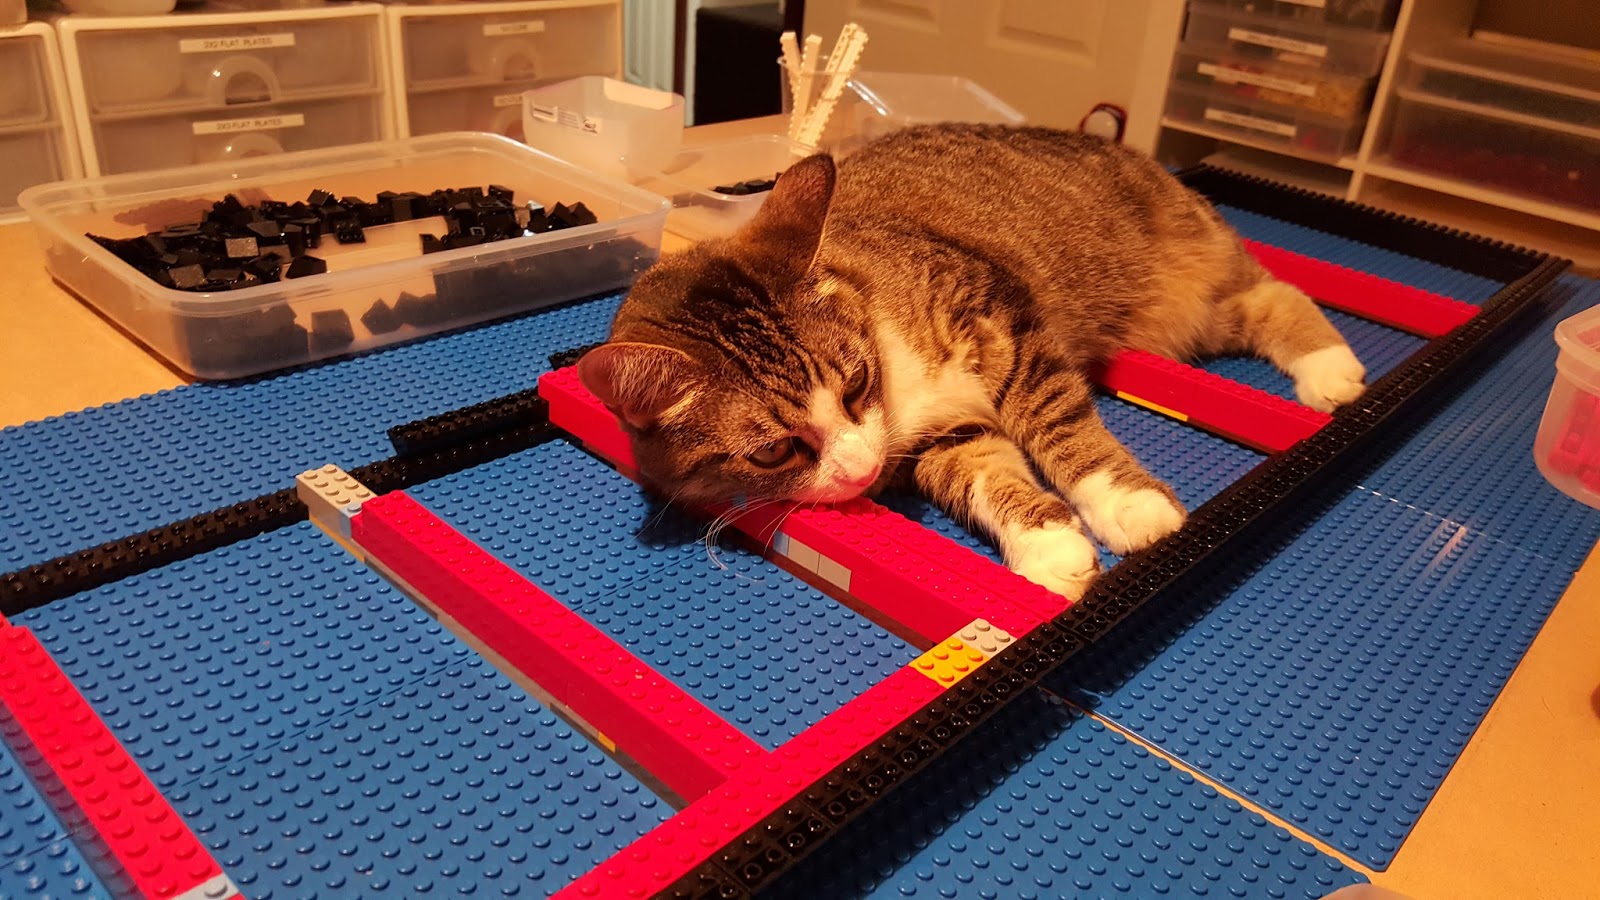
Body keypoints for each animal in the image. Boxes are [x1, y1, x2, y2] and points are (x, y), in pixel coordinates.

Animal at [577, 124, 1365, 599]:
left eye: (856, 382)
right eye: (774, 451)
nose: (862, 469)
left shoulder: (1004, 320)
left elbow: (1058, 426)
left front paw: (1127, 506)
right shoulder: (944, 438)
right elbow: (984, 476)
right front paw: (1048, 544)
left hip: (1184, 294)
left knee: (1278, 292)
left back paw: (1331, 370)